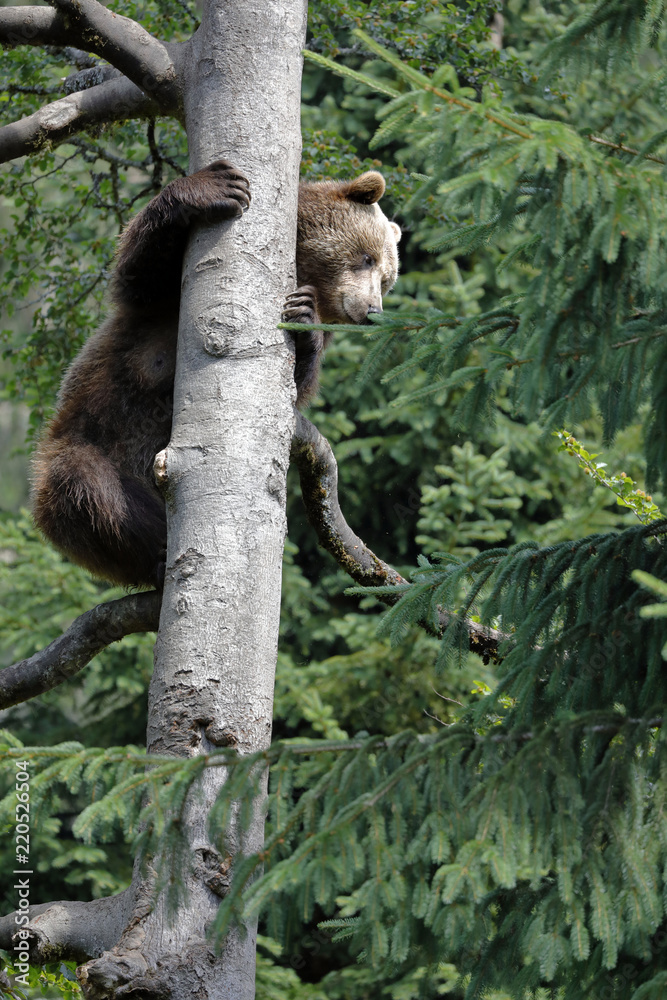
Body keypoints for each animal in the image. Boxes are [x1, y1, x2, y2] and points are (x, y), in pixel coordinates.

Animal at [31, 160, 401, 590]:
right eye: (367, 259)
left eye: (387, 278)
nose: (372, 310)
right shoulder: (161, 304)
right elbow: (139, 273)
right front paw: (213, 187)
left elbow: (295, 384)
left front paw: (304, 318)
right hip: (91, 438)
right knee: (88, 488)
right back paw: (158, 551)